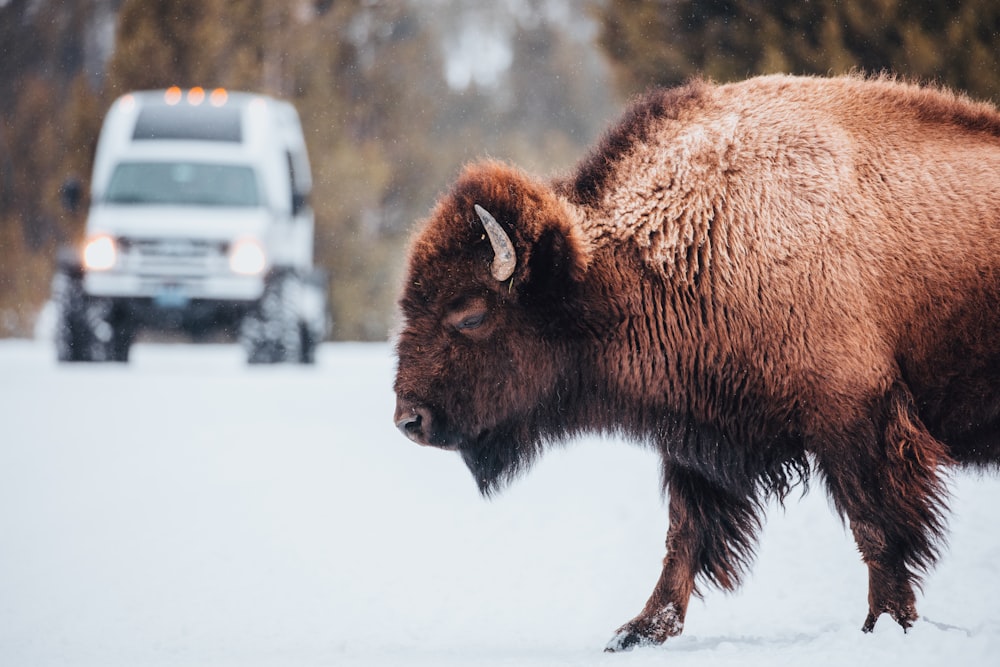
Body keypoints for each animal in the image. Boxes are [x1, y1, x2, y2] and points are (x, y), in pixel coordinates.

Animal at [390, 74, 1000, 652]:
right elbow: (684, 537)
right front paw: (636, 632)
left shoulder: (855, 417)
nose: (408, 420)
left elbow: (878, 528)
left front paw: (886, 625)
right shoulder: (700, 439)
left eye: (470, 315)